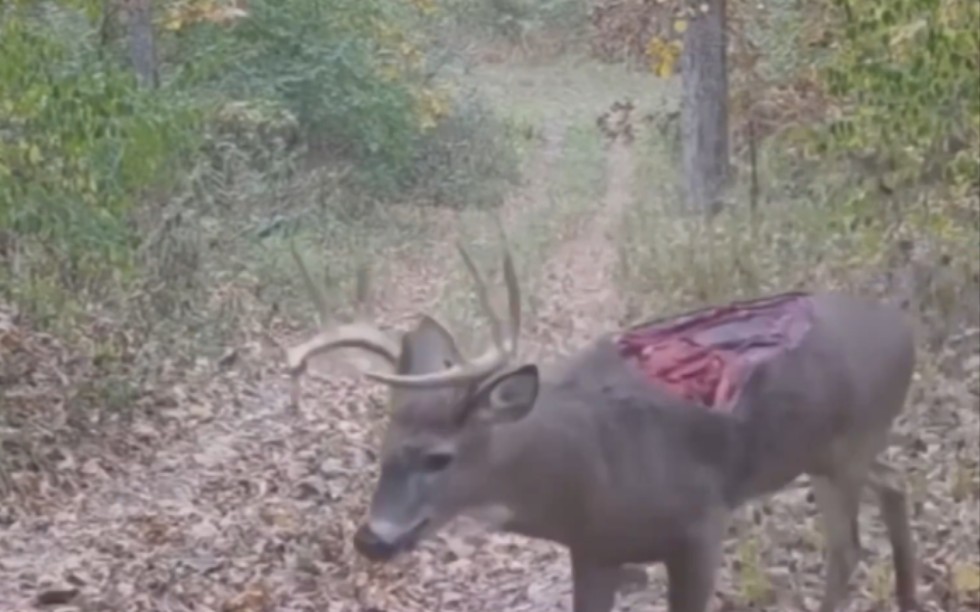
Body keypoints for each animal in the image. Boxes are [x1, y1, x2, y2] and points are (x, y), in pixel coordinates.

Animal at [284, 239, 920, 612]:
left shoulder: (701, 523)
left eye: (439, 457)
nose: (371, 538)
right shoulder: (593, 549)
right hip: (834, 452)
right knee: (894, 486)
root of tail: (905, 329)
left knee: (847, 546)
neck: (588, 474)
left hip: (846, 449)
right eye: (383, 449)